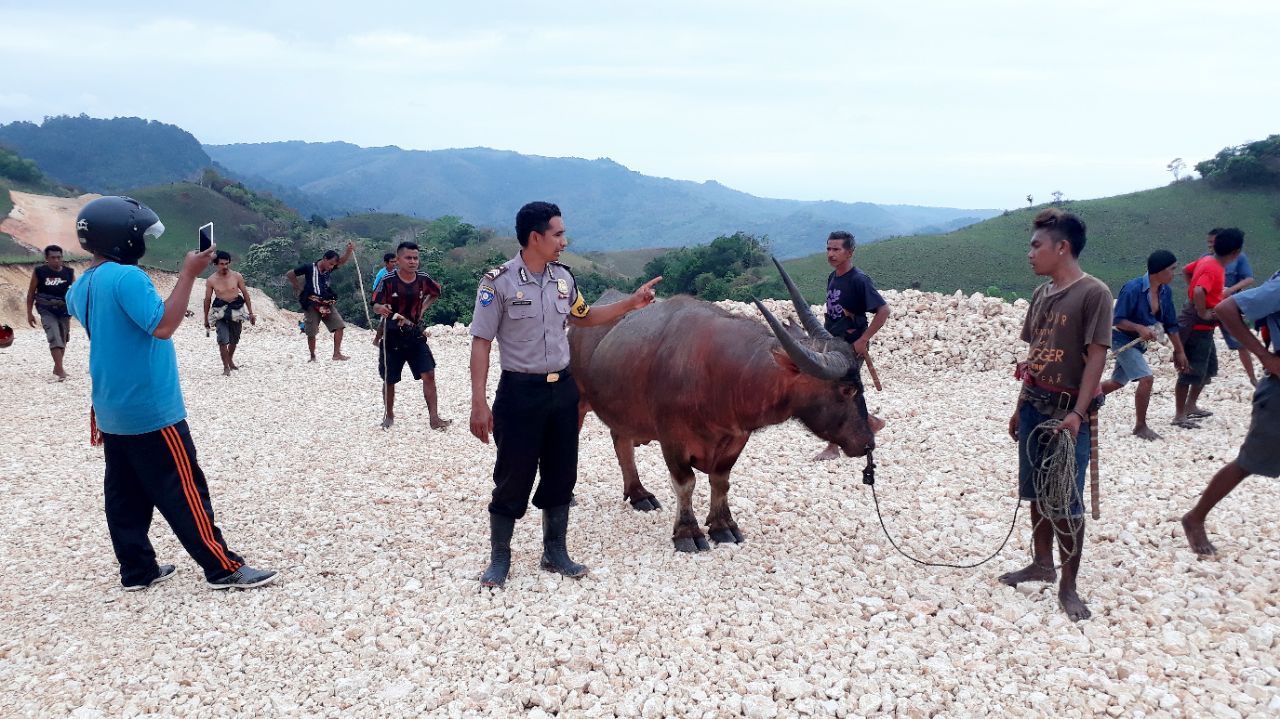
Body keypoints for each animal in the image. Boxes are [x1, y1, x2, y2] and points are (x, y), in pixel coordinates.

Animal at [573, 259, 880, 550]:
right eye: (847, 389)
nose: (867, 442)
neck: (719, 373)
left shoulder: (736, 438)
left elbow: (721, 481)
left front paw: (723, 526)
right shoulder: (672, 439)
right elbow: (685, 483)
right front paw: (688, 532)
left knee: (621, 441)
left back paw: (638, 494)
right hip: (578, 405)